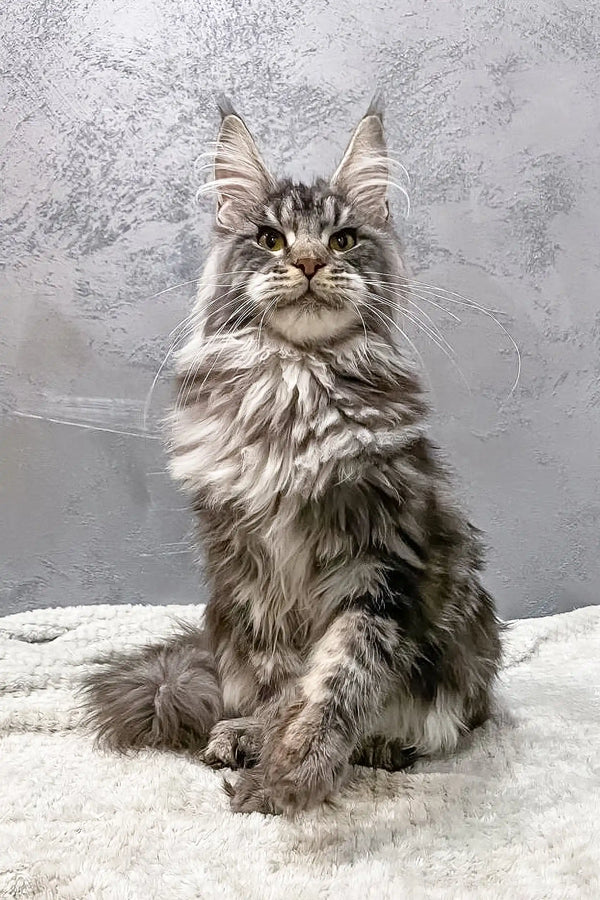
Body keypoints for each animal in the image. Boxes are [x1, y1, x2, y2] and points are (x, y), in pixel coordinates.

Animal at [81, 98, 502, 816]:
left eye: (343, 240)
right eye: (271, 239)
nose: (307, 262)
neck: (295, 389)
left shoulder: (378, 565)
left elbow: (338, 679)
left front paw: (293, 772)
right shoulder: (255, 575)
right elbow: (281, 681)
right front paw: (264, 745)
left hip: (465, 656)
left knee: (441, 720)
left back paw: (381, 746)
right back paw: (238, 731)